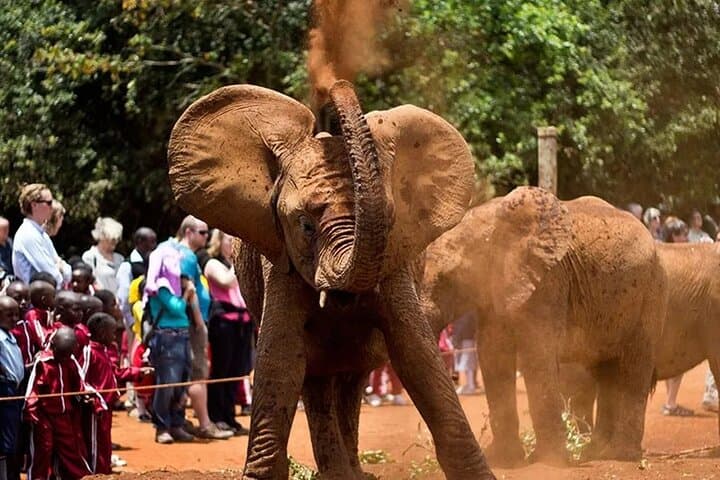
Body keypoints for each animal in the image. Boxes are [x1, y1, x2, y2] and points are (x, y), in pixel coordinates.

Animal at [167, 80, 495, 479]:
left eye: (390, 220)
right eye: (305, 225)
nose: (335, 85)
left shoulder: (394, 266)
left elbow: (418, 355)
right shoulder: (282, 262)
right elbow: (280, 361)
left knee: (352, 377)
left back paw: (355, 473)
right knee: (316, 375)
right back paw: (338, 473)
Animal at [420, 186, 667, 466]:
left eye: (447, 279)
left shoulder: (548, 279)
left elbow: (537, 352)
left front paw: (546, 461)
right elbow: (493, 354)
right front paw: (504, 461)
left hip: (652, 292)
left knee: (634, 367)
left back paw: (620, 455)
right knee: (606, 370)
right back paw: (595, 453)